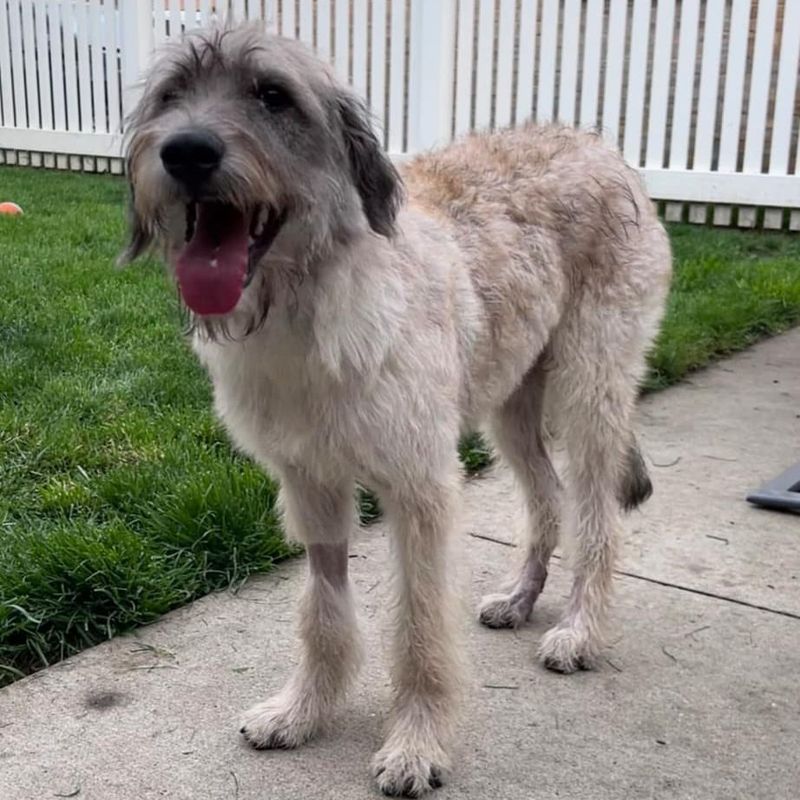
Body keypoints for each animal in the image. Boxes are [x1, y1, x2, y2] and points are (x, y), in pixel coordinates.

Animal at [122, 23, 672, 792]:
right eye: (173, 95)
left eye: (272, 95)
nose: (185, 151)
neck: (308, 304)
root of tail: (597, 143)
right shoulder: (311, 483)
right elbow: (323, 610)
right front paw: (302, 711)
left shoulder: (419, 489)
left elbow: (418, 625)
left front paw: (416, 742)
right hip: (511, 403)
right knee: (547, 495)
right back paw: (521, 597)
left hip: (591, 385)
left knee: (597, 513)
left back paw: (580, 630)